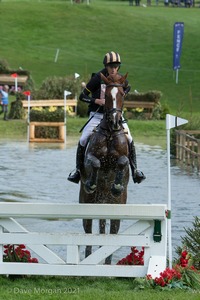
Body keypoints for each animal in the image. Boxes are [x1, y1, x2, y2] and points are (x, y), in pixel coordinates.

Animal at [79, 71, 129, 264]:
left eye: (122, 94)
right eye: (106, 96)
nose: (115, 122)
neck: (110, 133)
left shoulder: (123, 158)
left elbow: (123, 162)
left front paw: (116, 186)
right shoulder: (89, 159)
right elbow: (95, 163)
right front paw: (92, 183)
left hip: (116, 206)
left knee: (112, 232)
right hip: (86, 202)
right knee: (89, 232)